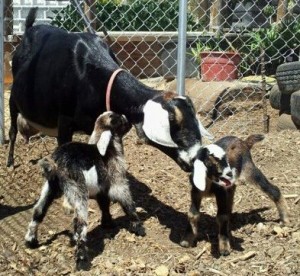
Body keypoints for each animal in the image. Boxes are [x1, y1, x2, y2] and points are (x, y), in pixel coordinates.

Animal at [7, 7, 213, 169]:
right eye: (173, 122)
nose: (197, 158)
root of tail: (28, 30)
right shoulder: (64, 122)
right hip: (13, 100)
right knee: (12, 130)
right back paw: (10, 162)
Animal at [25, 111, 145, 270]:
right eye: (118, 120)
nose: (130, 120)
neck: (108, 149)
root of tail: (56, 163)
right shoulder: (117, 181)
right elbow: (126, 201)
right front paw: (138, 227)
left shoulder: (101, 187)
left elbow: (104, 204)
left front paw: (107, 223)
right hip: (77, 189)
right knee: (79, 225)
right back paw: (82, 261)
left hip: (50, 187)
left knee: (39, 210)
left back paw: (30, 241)